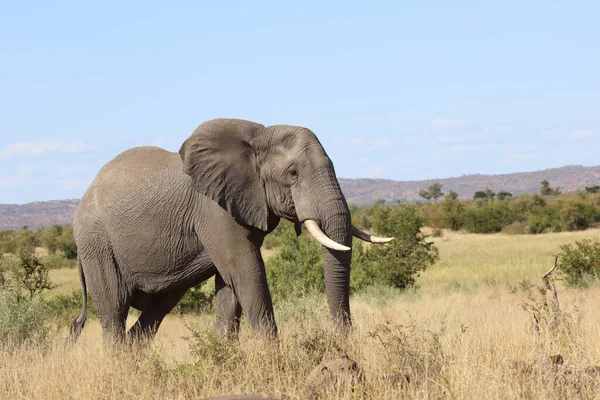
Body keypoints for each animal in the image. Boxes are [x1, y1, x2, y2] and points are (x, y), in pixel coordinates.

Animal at [68, 116, 392, 344]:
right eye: (293, 173)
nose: (346, 345)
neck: (259, 135)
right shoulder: (214, 209)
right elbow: (247, 272)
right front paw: (274, 360)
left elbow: (229, 286)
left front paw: (224, 358)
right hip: (97, 244)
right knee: (114, 311)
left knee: (156, 310)